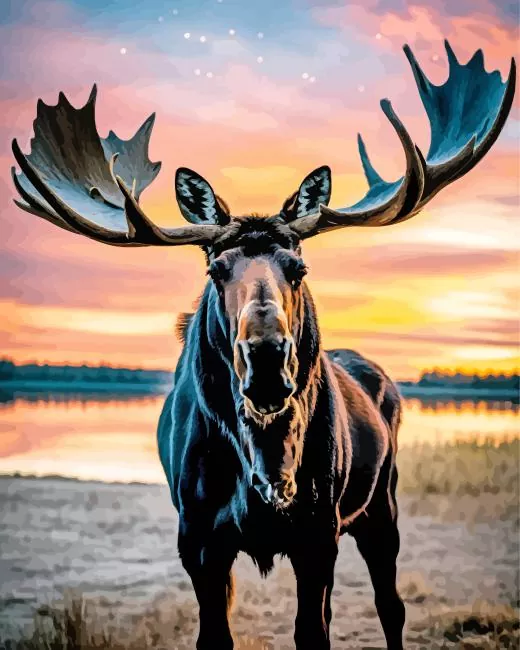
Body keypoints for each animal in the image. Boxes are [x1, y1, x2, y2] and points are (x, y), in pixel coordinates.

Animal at [11, 41, 515, 650]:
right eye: (215, 268)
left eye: (298, 267)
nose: (269, 362)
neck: (268, 464)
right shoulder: (198, 539)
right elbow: (219, 635)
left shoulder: (318, 532)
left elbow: (313, 632)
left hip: (382, 504)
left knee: (390, 606)